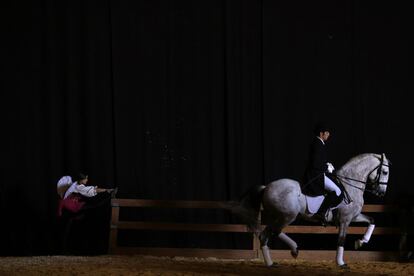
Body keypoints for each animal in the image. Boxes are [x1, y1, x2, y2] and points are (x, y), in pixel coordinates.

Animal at [228, 152, 390, 268]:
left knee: (267, 233)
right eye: (385, 172)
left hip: (278, 216)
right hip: (287, 216)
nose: (381, 193)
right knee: (272, 232)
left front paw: (361, 242)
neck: (349, 184)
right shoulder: (345, 219)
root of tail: (266, 187)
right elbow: (341, 240)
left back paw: (276, 260)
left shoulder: (353, 216)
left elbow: (372, 220)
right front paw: (341, 263)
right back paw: (285, 255)